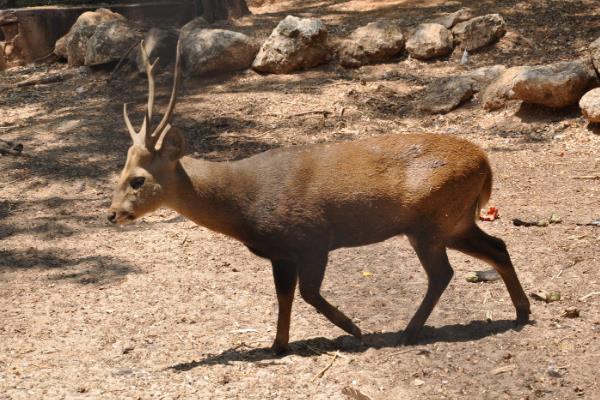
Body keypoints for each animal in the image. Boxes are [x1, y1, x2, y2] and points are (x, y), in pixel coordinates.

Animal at [108, 43, 528, 354]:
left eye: (137, 180)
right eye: (119, 173)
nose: (112, 214)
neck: (244, 206)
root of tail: (486, 162)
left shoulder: (311, 238)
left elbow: (308, 293)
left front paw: (354, 329)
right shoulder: (281, 253)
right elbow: (285, 297)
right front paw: (278, 345)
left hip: (431, 221)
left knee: (443, 272)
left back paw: (408, 332)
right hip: (454, 221)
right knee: (498, 247)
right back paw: (521, 313)